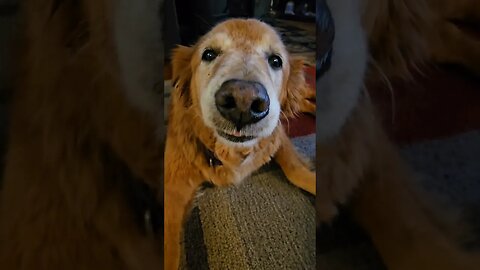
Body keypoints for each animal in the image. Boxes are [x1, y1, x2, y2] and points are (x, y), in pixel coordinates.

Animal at [164, 17, 316, 268]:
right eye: (209, 54)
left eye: (276, 60)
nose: (243, 102)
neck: (232, 152)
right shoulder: (173, 188)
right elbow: (169, 249)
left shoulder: (276, 135)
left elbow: (295, 170)